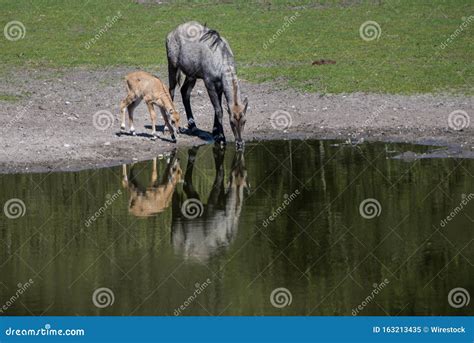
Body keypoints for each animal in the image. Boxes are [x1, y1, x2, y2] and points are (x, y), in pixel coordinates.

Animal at [167, 21, 248, 149]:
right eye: (231, 122)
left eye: (244, 120)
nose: (239, 143)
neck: (221, 58)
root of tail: (171, 34)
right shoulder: (209, 82)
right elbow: (219, 110)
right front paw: (221, 138)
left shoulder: (219, 86)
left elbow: (217, 108)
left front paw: (215, 132)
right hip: (172, 65)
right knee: (171, 90)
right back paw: (168, 125)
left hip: (191, 75)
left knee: (184, 91)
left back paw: (193, 125)